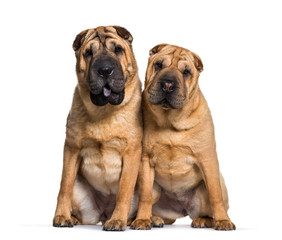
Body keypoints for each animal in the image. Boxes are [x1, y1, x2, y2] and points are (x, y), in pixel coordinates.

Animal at [52, 25, 142, 231]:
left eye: (118, 49)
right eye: (88, 53)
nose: (105, 70)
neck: (104, 110)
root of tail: (104, 212)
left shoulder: (132, 152)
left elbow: (124, 190)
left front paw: (117, 221)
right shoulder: (72, 148)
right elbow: (64, 185)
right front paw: (61, 216)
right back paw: (74, 218)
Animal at [132, 43, 236, 231]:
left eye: (186, 72)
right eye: (158, 65)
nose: (167, 84)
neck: (170, 120)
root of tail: (180, 209)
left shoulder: (207, 159)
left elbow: (215, 194)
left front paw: (223, 221)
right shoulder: (146, 161)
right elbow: (145, 195)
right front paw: (142, 220)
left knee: (210, 204)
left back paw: (204, 220)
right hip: (157, 191)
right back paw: (153, 218)